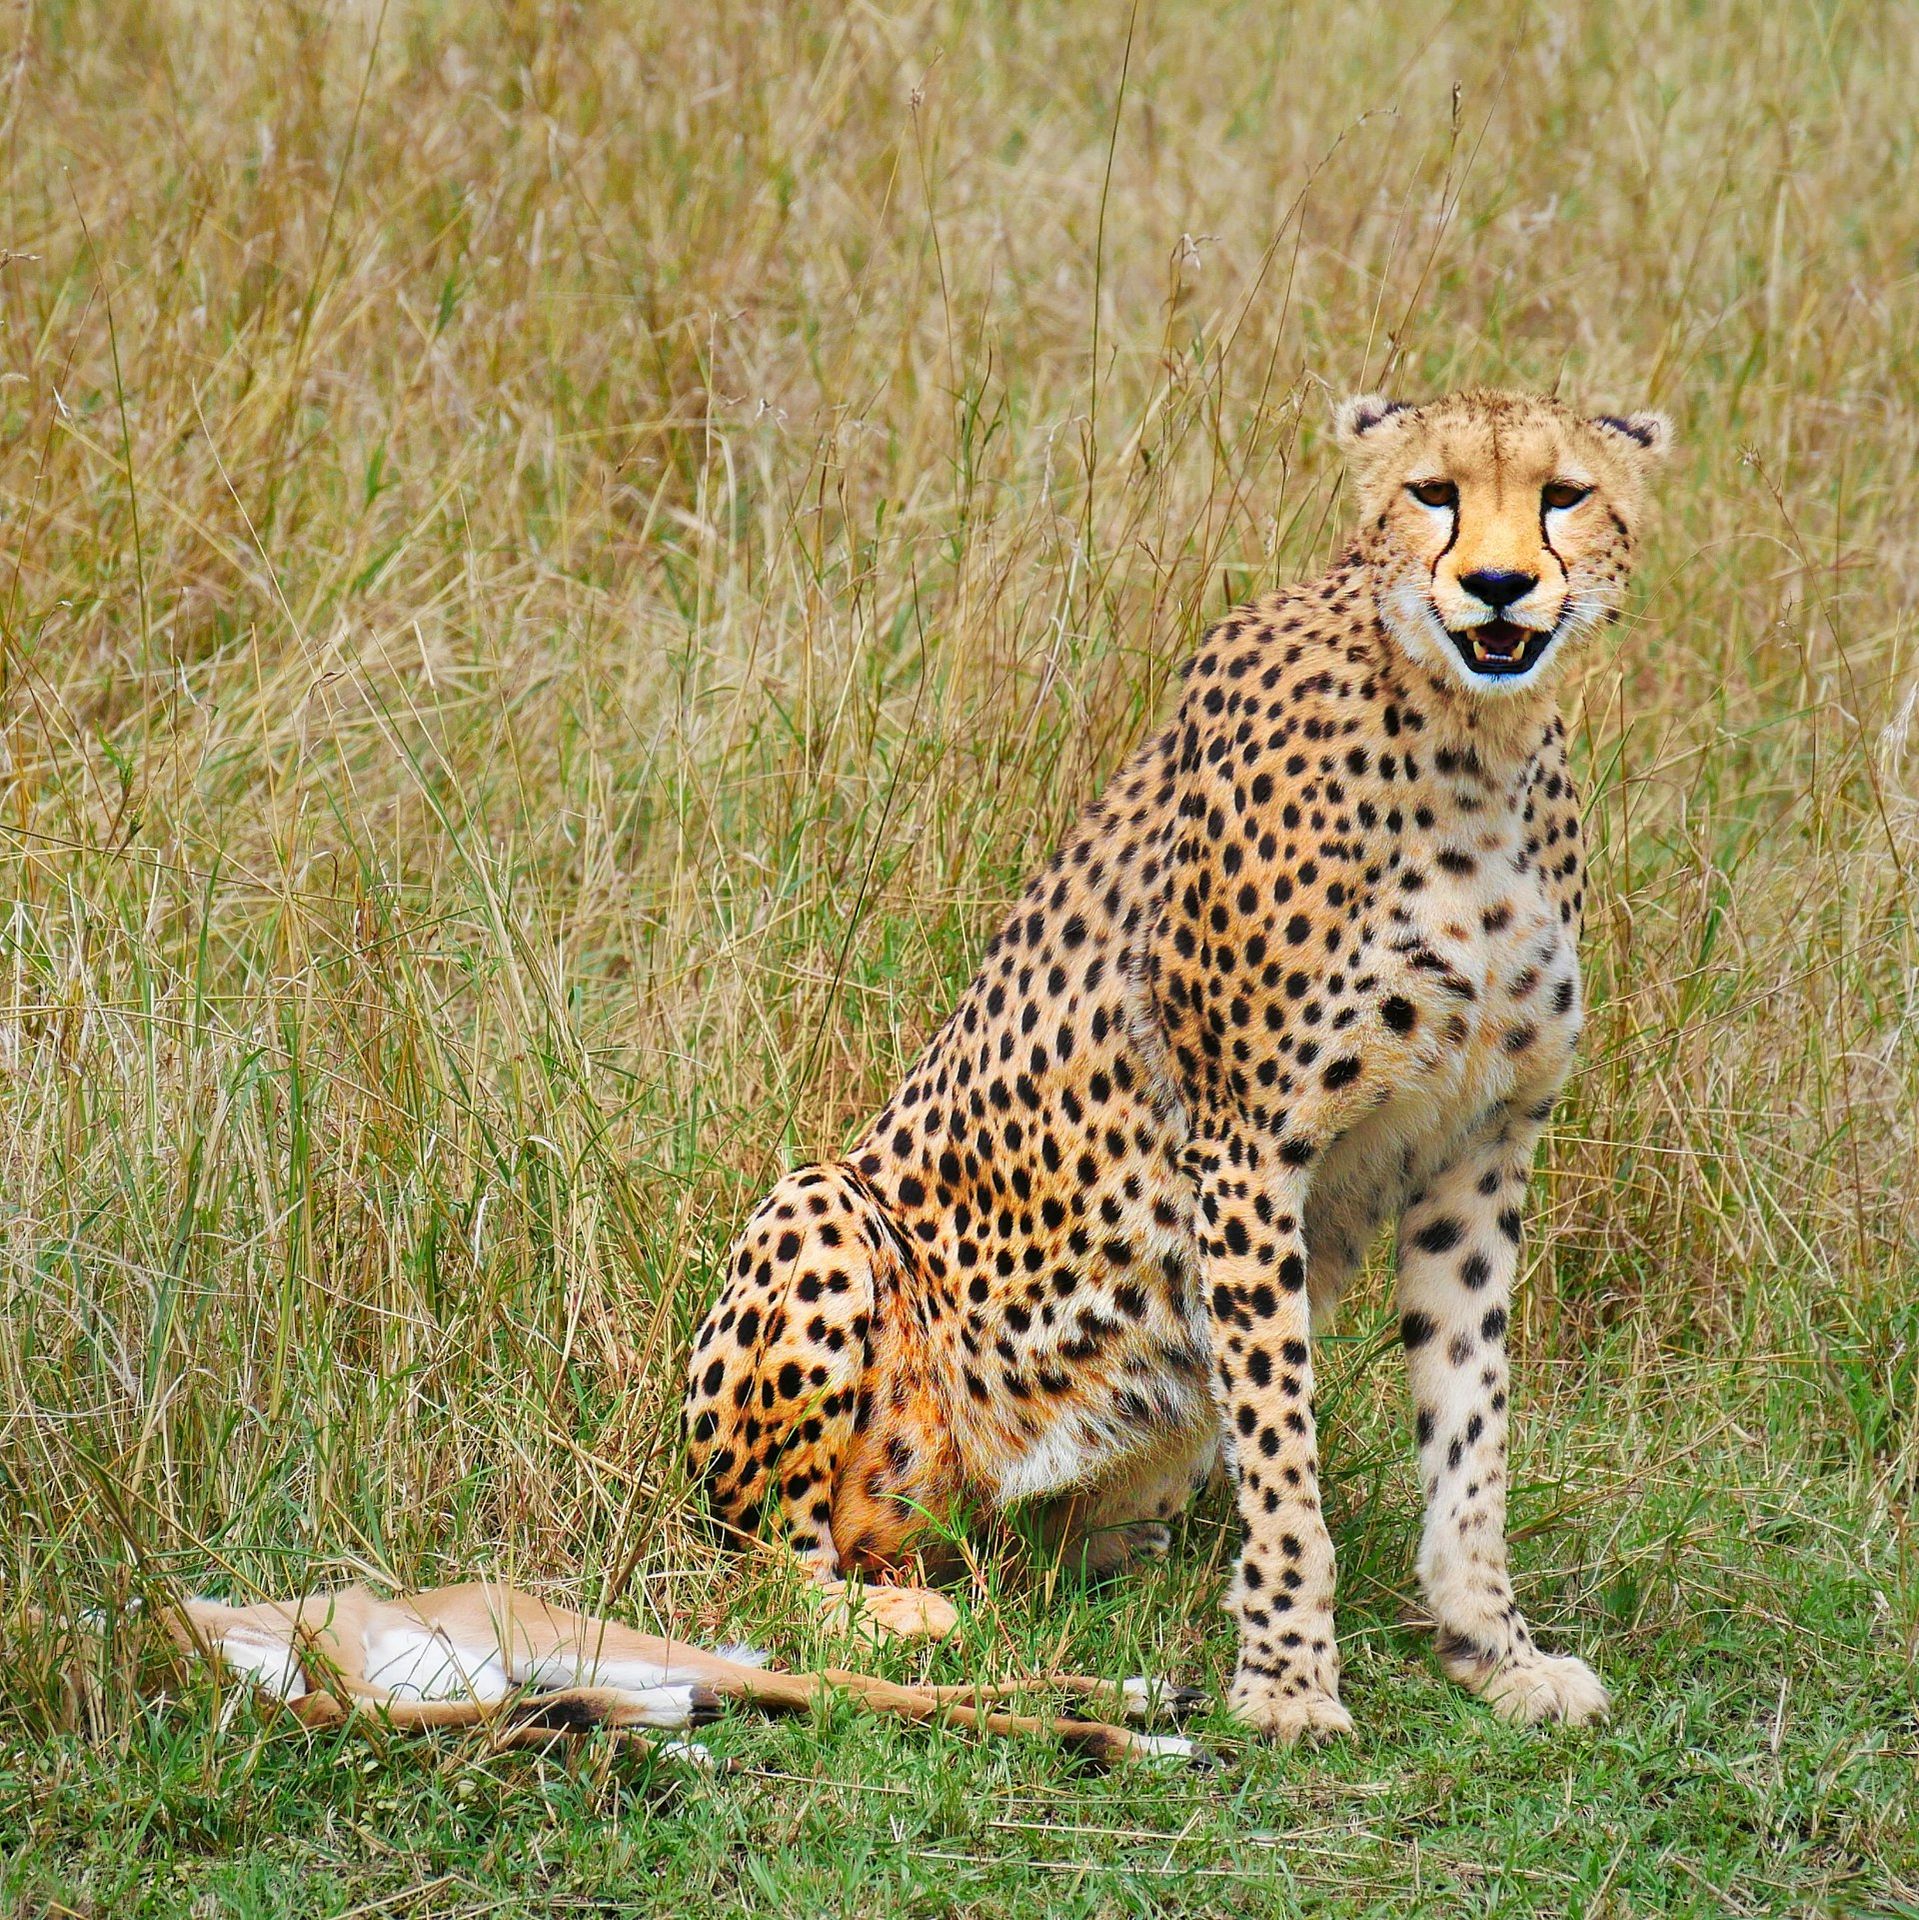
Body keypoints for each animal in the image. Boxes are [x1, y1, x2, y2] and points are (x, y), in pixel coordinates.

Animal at [683, 386, 1670, 1740]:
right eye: (1432, 493)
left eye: (1561, 495)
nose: (1497, 585)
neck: (1472, 735)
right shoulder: (1248, 1146)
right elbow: (1286, 1455)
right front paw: (1291, 1680)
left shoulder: (1479, 1147)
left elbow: (1468, 1426)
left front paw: (1492, 1651)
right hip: (819, 1208)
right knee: (769, 1555)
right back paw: (875, 1616)